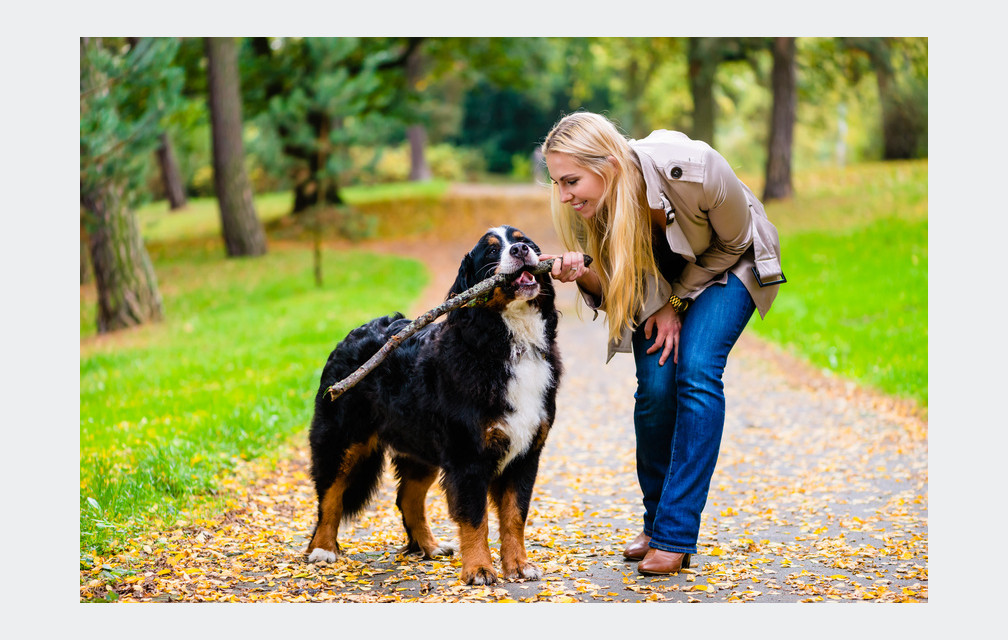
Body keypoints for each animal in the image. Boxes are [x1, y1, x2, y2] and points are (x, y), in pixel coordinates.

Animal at [302, 225, 564, 584]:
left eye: (524, 240)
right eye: (492, 251)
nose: (521, 250)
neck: (509, 343)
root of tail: (350, 336)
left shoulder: (526, 454)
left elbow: (514, 516)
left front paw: (519, 565)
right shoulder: (468, 454)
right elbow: (475, 518)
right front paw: (479, 569)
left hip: (420, 447)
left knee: (407, 499)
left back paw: (429, 546)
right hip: (343, 440)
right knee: (330, 497)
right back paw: (322, 550)